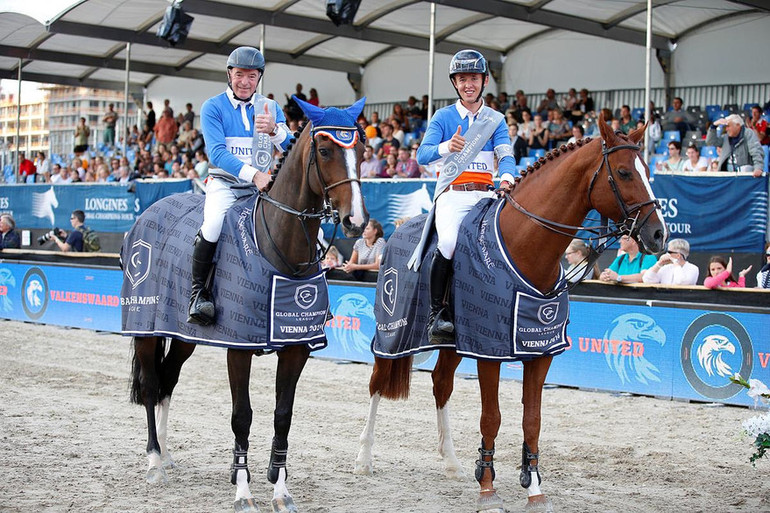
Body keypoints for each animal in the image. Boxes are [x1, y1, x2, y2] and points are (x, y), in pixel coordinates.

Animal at [124, 98, 368, 510]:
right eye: (324, 151)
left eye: (362, 152)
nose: (356, 220)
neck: (280, 248)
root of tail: (148, 214)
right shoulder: (237, 348)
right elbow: (242, 416)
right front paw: (242, 489)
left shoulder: (296, 347)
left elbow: (282, 415)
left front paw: (280, 488)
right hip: (146, 328)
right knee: (152, 384)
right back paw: (155, 461)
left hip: (184, 336)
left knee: (168, 380)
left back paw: (168, 455)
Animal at [356, 114, 664, 510]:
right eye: (625, 172)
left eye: (648, 171)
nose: (658, 235)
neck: (527, 246)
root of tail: (397, 232)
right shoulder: (489, 350)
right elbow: (492, 418)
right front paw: (488, 490)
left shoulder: (539, 352)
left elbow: (532, 420)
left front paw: (534, 489)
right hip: (392, 335)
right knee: (377, 383)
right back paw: (363, 459)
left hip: (452, 345)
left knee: (441, 385)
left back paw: (451, 463)